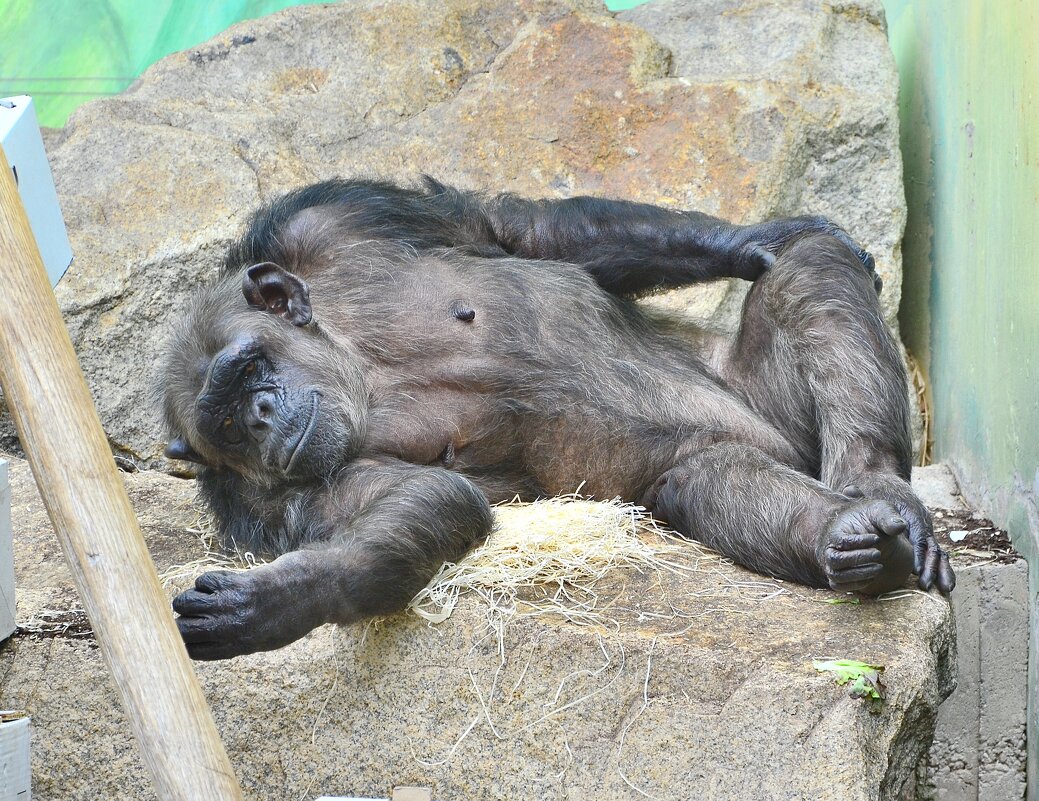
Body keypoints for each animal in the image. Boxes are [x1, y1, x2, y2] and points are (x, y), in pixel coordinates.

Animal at [160, 178, 951, 660]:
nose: (261, 417)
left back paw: (881, 490)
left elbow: (517, 227)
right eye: (224, 426)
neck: (359, 364)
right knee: (721, 480)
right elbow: (424, 496)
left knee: (813, 267)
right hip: (709, 468)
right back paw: (849, 539)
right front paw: (285, 599)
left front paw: (757, 235)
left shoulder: (332, 217)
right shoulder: (267, 502)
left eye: (249, 372)